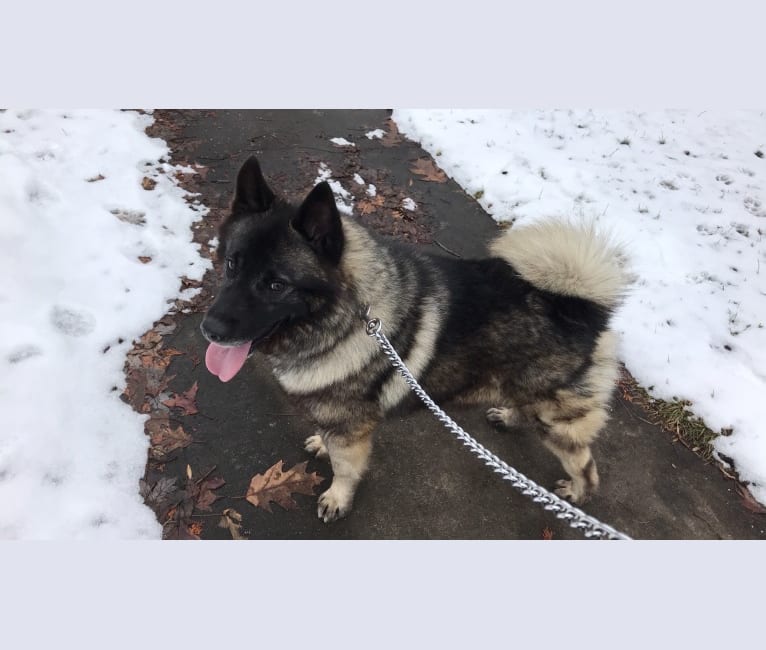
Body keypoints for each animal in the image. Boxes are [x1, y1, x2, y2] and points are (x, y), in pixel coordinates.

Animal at [204, 156, 632, 520]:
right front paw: (322, 446)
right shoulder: (342, 424)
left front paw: (337, 498)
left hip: (558, 422)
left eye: (276, 285)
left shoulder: (351, 431)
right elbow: (331, 442)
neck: (347, 318)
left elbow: (346, 469)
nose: (210, 330)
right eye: (232, 265)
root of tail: (581, 307)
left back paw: (577, 494)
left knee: (586, 466)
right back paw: (508, 415)